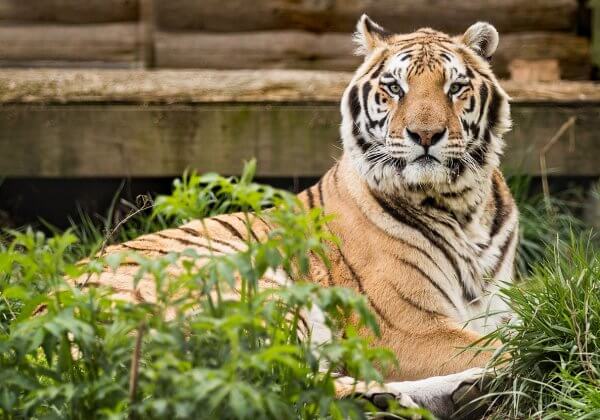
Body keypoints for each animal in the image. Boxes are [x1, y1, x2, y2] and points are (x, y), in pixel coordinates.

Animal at [78, 14, 516, 418]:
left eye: (455, 87)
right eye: (394, 87)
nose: (425, 135)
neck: (461, 206)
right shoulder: (402, 327)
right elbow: (504, 346)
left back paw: (456, 393)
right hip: (251, 286)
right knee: (270, 379)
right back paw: (387, 400)